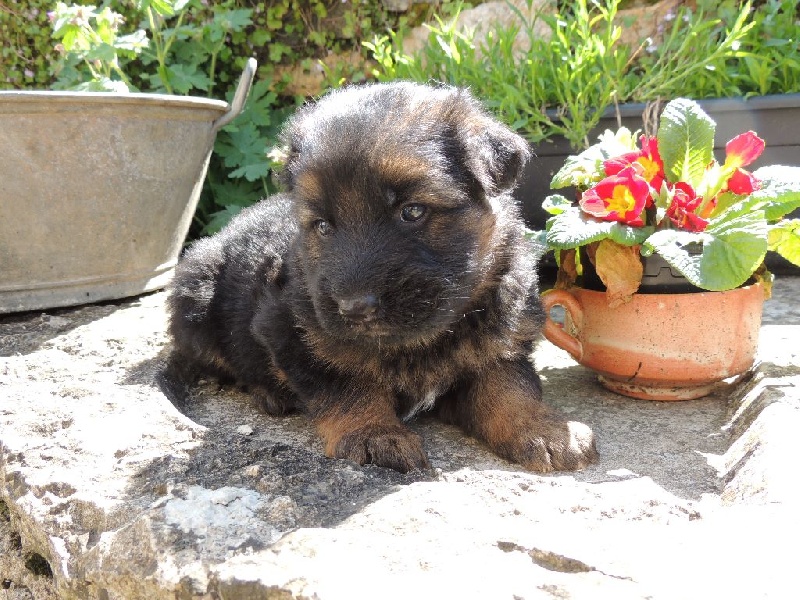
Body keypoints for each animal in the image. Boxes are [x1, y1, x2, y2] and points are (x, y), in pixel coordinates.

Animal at [167, 81, 592, 474]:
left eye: (412, 211)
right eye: (323, 226)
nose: (354, 309)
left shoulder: (501, 337)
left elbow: (509, 385)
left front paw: (544, 429)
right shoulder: (287, 331)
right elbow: (347, 383)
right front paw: (375, 433)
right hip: (196, 301)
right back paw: (270, 393)